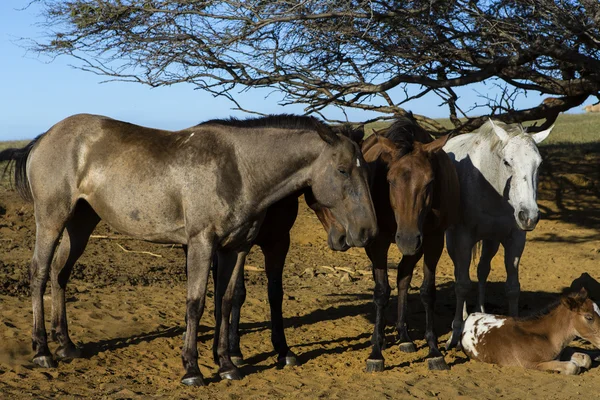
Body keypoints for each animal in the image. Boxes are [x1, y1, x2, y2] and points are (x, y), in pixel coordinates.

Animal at [0, 111, 376, 384]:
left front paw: (227, 364)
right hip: (51, 219)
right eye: (343, 170)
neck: (239, 168)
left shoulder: (236, 248)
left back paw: (66, 346)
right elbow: (196, 304)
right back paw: (43, 351)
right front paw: (192, 369)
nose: (367, 231)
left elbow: (226, 302)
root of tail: (44, 138)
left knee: (60, 274)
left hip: (80, 224)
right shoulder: (201, 243)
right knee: (39, 273)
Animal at [358, 115, 462, 372]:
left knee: (403, 277)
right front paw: (376, 352)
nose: (406, 239)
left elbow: (427, 292)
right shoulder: (379, 242)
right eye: (390, 180)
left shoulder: (433, 240)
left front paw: (434, 350)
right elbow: (381, 291)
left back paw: (404, 336)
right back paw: (381, 338)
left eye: (430, 181)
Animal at [440, 120, 552, 348]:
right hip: (453, 240)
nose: (529, 216)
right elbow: (462, 284)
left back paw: (481, 310)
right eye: (507, 162)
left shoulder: (515, 239)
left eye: (539, 164)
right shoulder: (463, 237)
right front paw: (455, 334)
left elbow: (512, 287)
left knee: (482, 270)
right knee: (459, 272)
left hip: (491, 240)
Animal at [462, 290, 600, 374]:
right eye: (589, 317)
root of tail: (469, 317)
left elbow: (586, 359)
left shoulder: (561, 351)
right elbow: (572, 366)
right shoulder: (531, 364)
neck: (547, 337)